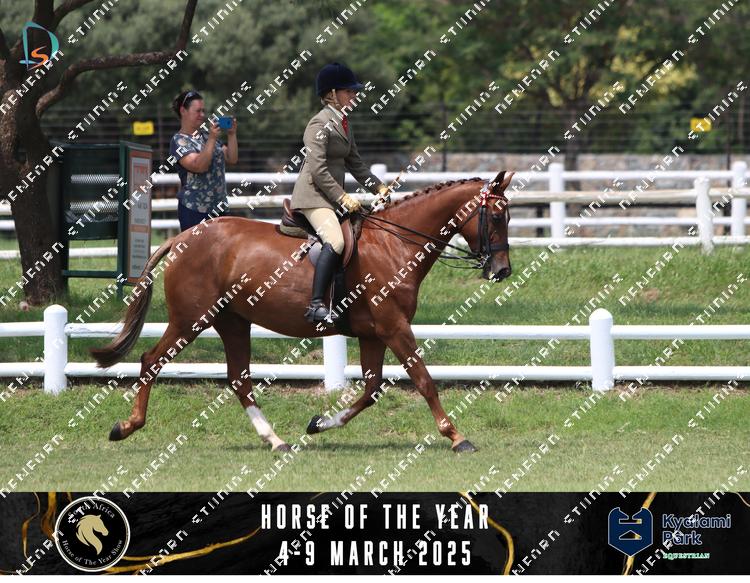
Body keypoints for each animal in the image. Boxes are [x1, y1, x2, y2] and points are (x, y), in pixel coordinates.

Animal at [90, 171, 514, 453]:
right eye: (495, 217)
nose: (502, 271)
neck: (395, 244)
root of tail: (182, 237)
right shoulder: (394, 327)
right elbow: (424, 380)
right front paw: (456, 437)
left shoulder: (374, 333)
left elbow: (372, 390)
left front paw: (319, 424)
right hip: (190, 320)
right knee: (152, 361)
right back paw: (126, 426)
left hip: (232, 322)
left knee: (239, 379)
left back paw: (275, 440)